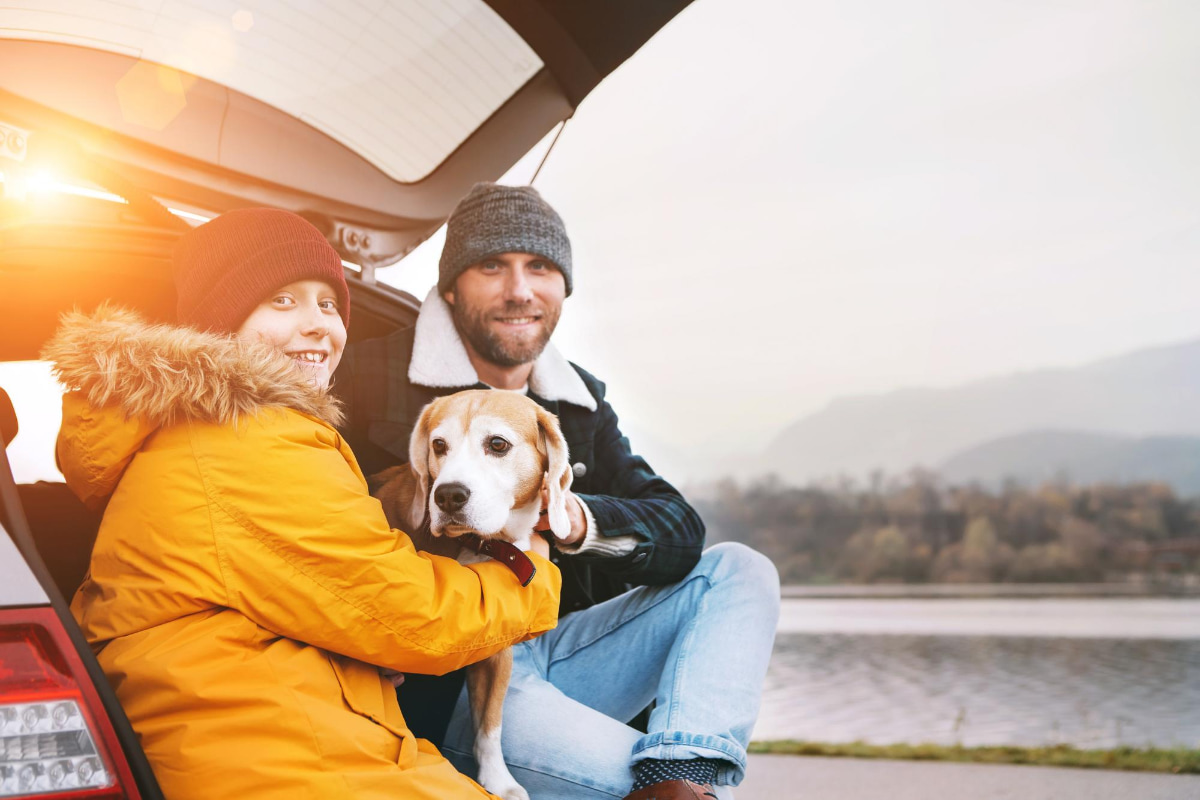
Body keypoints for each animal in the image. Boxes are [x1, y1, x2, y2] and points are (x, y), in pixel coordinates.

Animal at [367, 388, 573, 800]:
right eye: (438, 445)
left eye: (497, 444)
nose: (448, 496)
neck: (481, 546)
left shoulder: (497, 656)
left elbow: (490, 725)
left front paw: (499, 780)